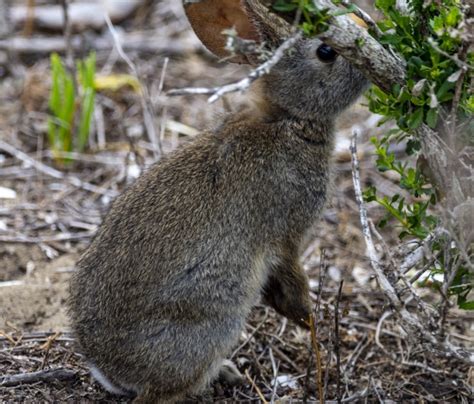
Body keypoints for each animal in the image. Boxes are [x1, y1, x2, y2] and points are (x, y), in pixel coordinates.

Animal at [67, 1, 370, 402]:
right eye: (326, 51)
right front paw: (309, 319)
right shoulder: (286, 236)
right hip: (211, 325)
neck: (287, 120)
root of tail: (109, 370)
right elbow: (291, 279)